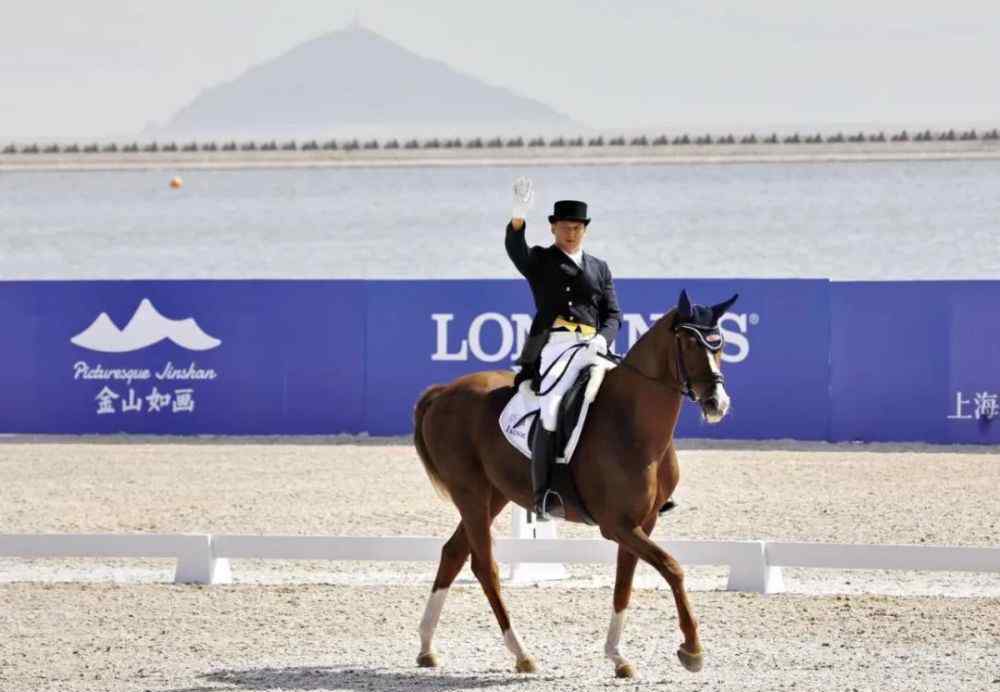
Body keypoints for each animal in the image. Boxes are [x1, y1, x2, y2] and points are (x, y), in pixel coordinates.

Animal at [412, 290, 736, 680]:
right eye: (688, 342)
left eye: (720, 344)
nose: (717, 404)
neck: (632, 422)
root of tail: (444, 391)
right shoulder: (617, 526)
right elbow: (672, 568)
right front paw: (692, 649)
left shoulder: (641, 524)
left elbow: (624, 584)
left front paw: (617, 657)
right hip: (470, 492)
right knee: (484, 567)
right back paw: (521, 653)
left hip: (494, 496)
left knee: (453, 553)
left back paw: (427, 648)